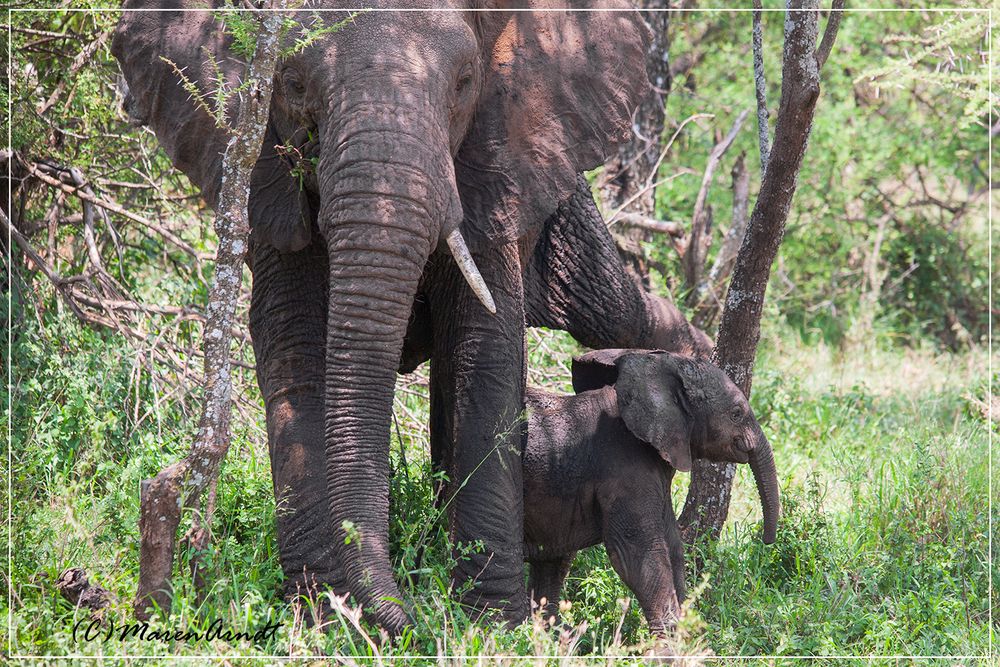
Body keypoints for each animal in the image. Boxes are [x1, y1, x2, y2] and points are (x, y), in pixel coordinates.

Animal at [524, 350, 780, 636]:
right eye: (736, 413)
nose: (766, 541)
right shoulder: (624, 468)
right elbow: (637, 553)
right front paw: (671, 644)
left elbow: (673, 545)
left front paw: (690, 637)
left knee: (552, 561)